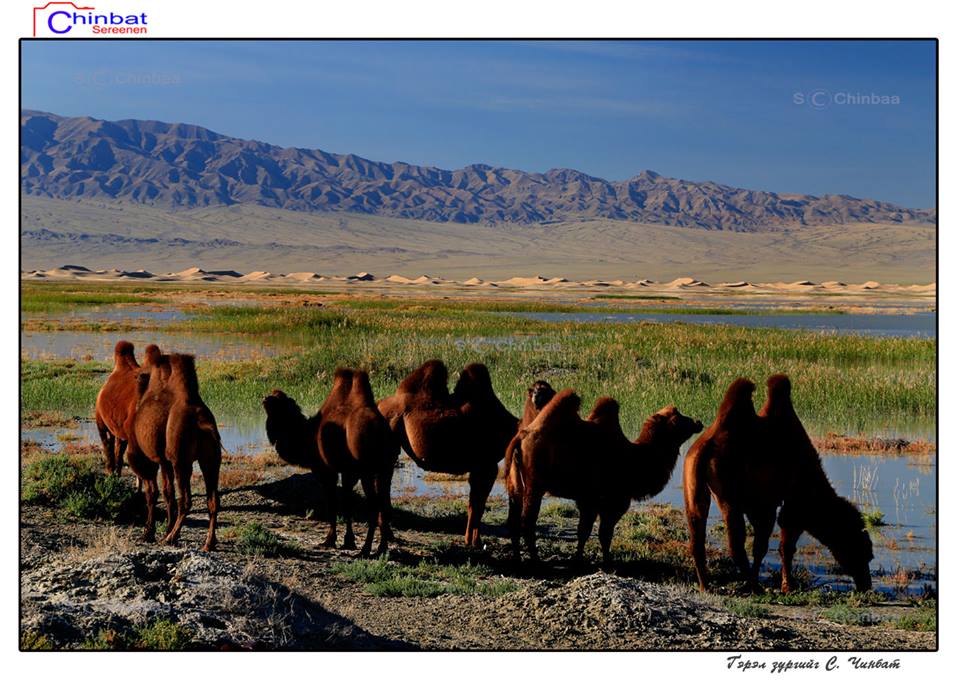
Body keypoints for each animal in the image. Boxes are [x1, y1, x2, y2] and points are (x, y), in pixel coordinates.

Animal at [124, 352, 219, 552]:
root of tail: (202, 422)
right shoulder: (164, 460)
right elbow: (168, 493)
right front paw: (163, 529)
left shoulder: (153, 460)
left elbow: (154, 493)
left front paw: (149, 533)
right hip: (211, 460)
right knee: (213, 500)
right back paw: (208, 543)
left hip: (180, 460)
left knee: (185, 500)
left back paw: (171, 538)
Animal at [378, 358, 520, 544]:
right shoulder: (486, 466)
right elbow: (478, 505)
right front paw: (475, 542)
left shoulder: (479, 468)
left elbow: (473, 504)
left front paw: (471, 539)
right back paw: (388, 535)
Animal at [506, 390, 700, 568]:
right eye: (676, 420)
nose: (697, 422)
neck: (635, 458)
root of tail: (522, 437)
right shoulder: (610, 501)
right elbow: (602, 533)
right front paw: (605, 562)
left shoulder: (586, 501)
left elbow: (584, 531)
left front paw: (580, 559)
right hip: (535, 486)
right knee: (527, 522)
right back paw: (536, 560)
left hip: (516, 486)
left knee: (514, 521)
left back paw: (517, 558)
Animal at [680, 372, 872, 592]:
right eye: (862, 551)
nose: (866, 583)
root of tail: (703, 449)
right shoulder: (786, 502)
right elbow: (779, 546)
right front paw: (787, 586)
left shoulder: (765, 503)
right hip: (728, 492)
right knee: (736, 542)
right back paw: (753, 585)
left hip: (692, 481)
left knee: (697, 532)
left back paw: (706, 584)